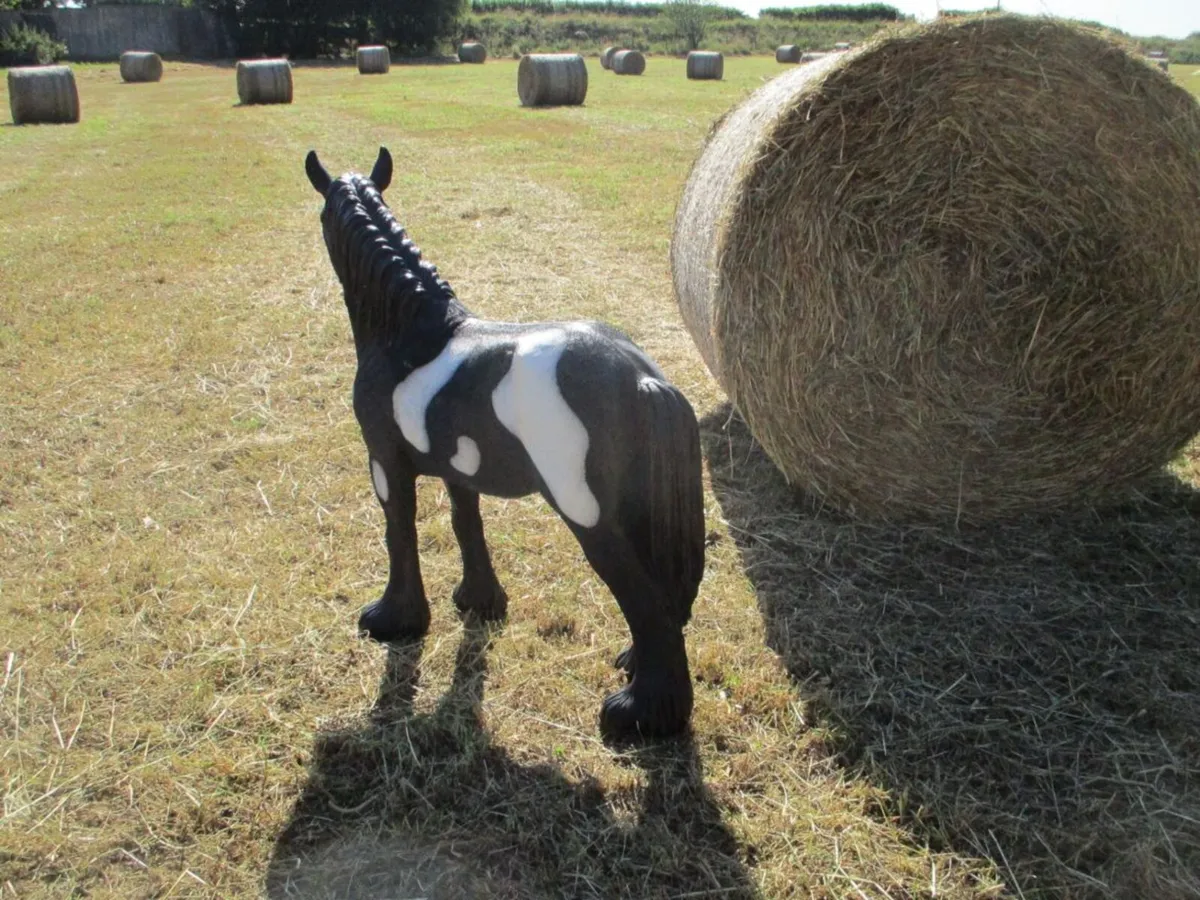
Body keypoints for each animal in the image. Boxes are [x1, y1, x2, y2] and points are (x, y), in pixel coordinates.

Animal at [304, 147, 706, 739]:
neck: (410, 332)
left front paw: (393, 621)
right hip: (639, 509)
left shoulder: (385, 461)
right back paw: (635, 670)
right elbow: (465, 525)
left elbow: (399, 532)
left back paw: (637, 715)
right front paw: (479, 602)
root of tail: (641, 377)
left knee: (646, 600)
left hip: (588, 514)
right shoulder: (457, 468)